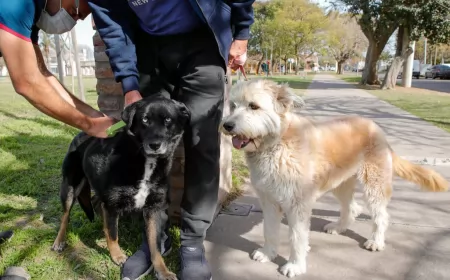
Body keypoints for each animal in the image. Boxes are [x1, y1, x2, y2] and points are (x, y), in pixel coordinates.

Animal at [51, 95, 190, 278]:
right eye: (145, 119)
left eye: (168, 120)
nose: (154, 145)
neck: (146, 162)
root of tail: (80, 133)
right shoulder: (112, 205)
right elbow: (113, 233)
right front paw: (117, 256)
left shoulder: (153, 209)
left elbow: (154, 246)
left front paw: (163, 271)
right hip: (70, 187)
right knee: (65, 216)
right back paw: (59, 241)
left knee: (95, 204)